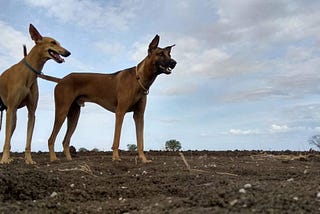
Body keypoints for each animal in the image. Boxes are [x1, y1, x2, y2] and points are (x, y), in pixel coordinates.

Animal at [0, 23, 70, 164]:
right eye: (53, 42)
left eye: (59, 43)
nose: (68, 52)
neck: (28, 73)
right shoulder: (11, 108)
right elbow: (6, 141)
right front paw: (4, 160)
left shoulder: (31, 113)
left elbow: (28, 140)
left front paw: (29, 160)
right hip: (9, 112)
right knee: (6, 137)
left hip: (13, 117)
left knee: (9, 135)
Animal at [46, 34, 176, 162]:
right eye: (160, 54)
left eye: (169, 54)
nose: (174, 62)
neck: (139, 79)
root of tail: (61, 80)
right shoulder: (120, 112)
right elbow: (116, 139)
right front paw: (116, 157)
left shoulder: (139, 116)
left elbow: (140, 141)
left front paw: (143, 159)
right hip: (62, 111)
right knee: (51, 139)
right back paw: (53, 159)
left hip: (74, 116)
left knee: (65, 141)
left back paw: (69, 159)